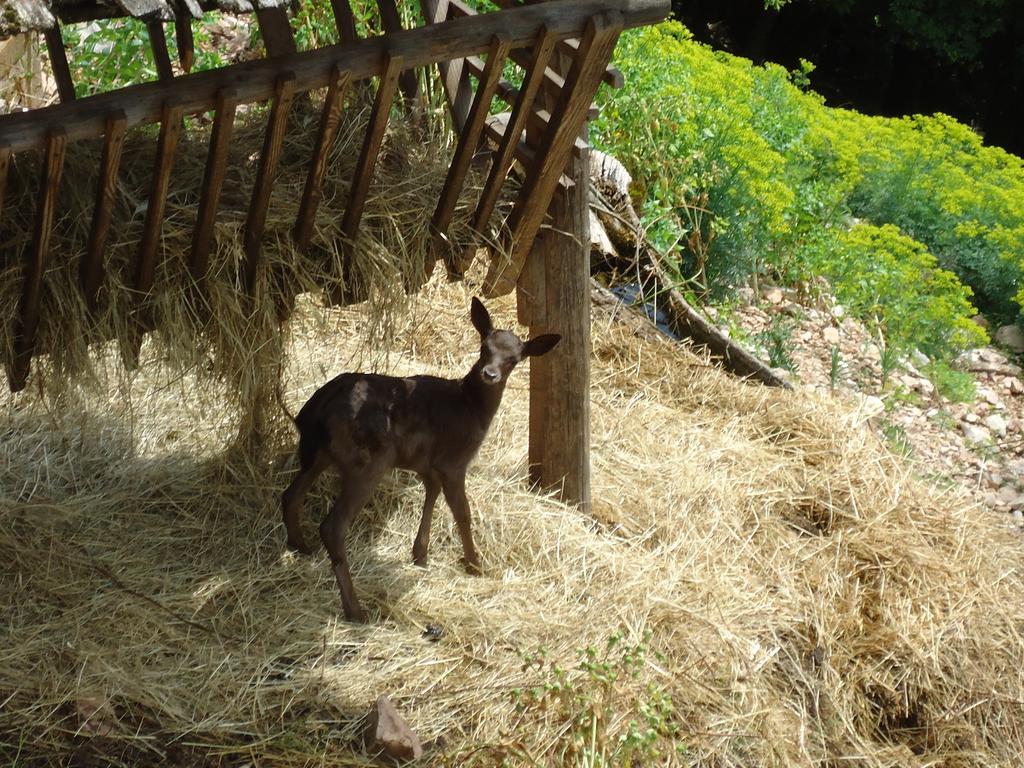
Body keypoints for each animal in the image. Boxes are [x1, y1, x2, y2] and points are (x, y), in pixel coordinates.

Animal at [282, 296, 561, 622]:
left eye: (514, 359)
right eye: (484, 348)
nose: (490, 374)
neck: (471, 409)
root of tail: (316, 408)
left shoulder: (427, 464)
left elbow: (432, 494)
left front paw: (420, 554)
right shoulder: (454, 461)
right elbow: (462, 512)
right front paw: (474, 564)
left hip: (319, 453)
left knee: (290, 495)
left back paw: (301, 546)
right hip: (367, 461)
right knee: (333, 526)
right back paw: (356, 610)